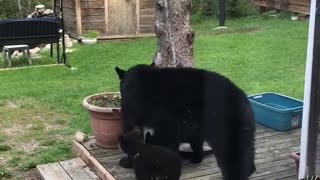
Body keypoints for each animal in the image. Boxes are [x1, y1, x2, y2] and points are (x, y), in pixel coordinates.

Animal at [115, 64, 255, 179]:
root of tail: (241, 96)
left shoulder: (132, 108)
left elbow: (132, 135)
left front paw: (127, 162)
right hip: (240, 127)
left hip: (223, 126)